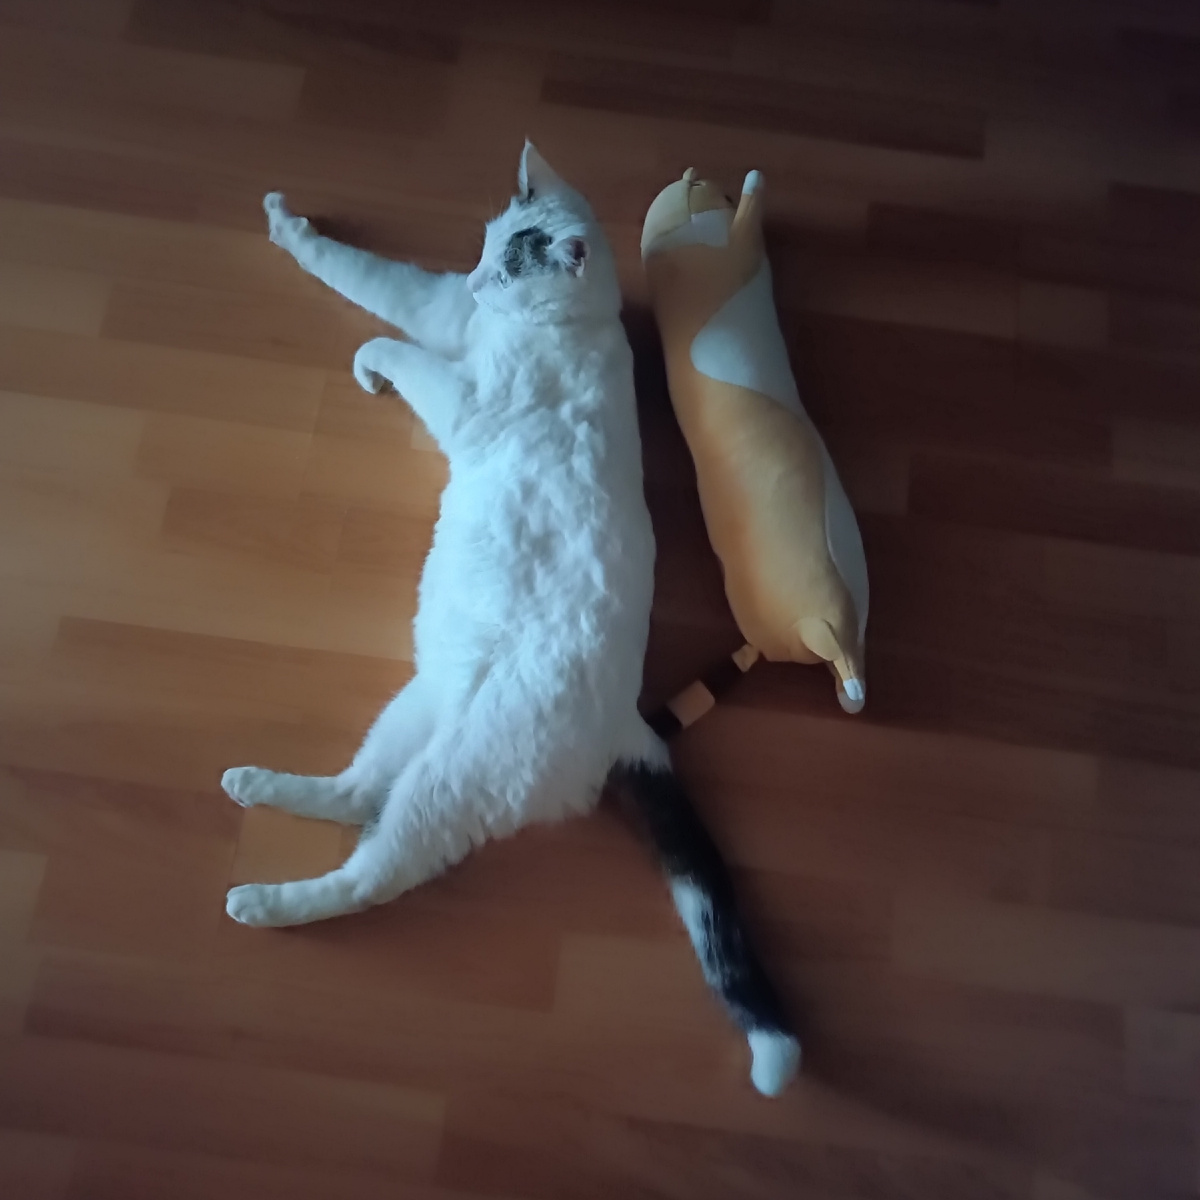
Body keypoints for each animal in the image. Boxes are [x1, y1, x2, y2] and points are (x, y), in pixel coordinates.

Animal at [220, 143, 800, 1097]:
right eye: (489, 249)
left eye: (511, 267)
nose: (479, 279)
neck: (572, 327)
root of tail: (626, 723)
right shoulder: (444, 311)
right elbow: (370, 280)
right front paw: (288, 225)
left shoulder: (464, 394)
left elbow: (392, 338)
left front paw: (369, 360)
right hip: (416, 709)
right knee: (355, 794)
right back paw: (255, 785)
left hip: (449, 782)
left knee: (370, 871)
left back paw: (262, 903)